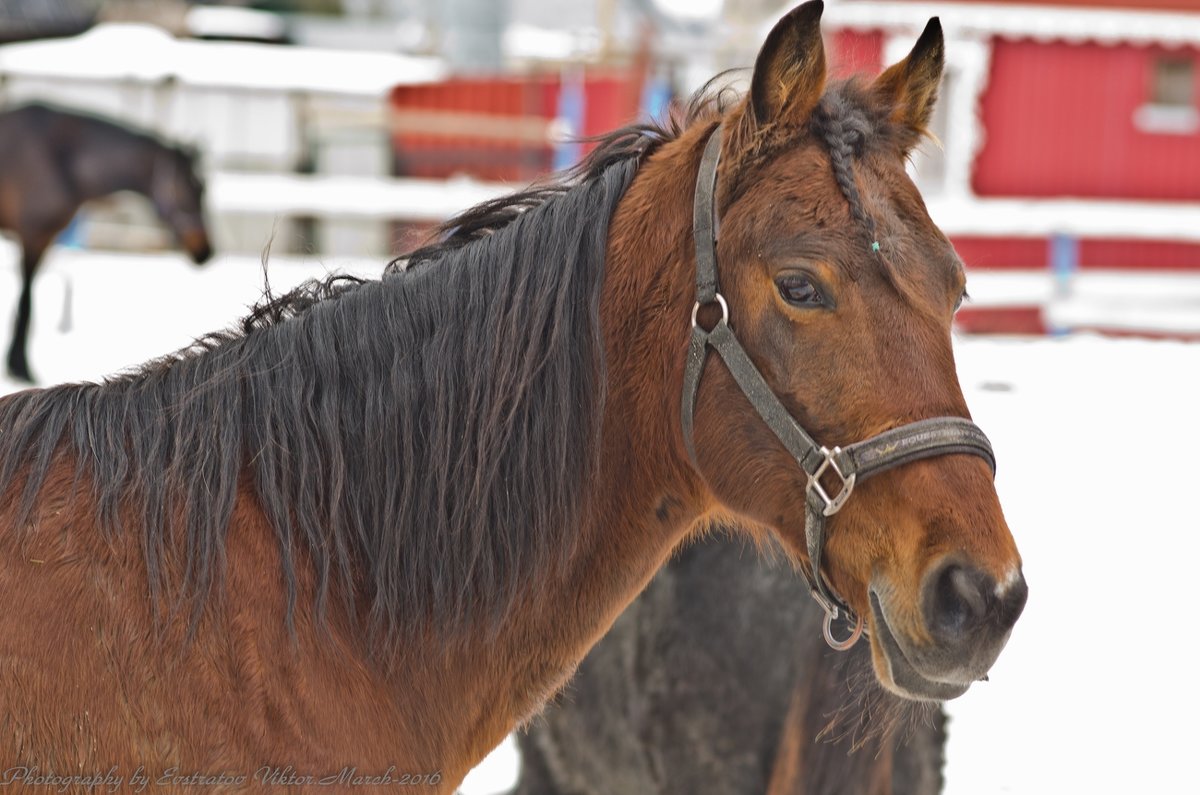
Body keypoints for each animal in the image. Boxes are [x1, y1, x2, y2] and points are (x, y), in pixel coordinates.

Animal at [0, 102, 212, 384]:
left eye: (203, 189)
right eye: (187, 187)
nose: (206, 251)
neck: (61, 156)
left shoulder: (44, 239)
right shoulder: (32, 237)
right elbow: (26, 304)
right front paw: (21, 368)